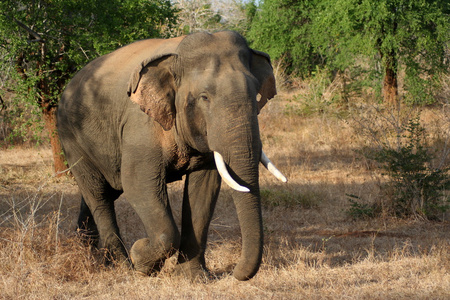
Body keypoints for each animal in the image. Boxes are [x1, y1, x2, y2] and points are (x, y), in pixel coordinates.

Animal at [58, 31, 286, 282]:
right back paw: (121, 265)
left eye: (256, 94)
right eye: (204, 97)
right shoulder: (141, 125)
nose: (234, 272)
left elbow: (204, 188)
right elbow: (137, 183)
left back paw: (89, 253)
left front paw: (192, 277)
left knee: (99, 193)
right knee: (99, 195)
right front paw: (141, 259)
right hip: (71, 138)